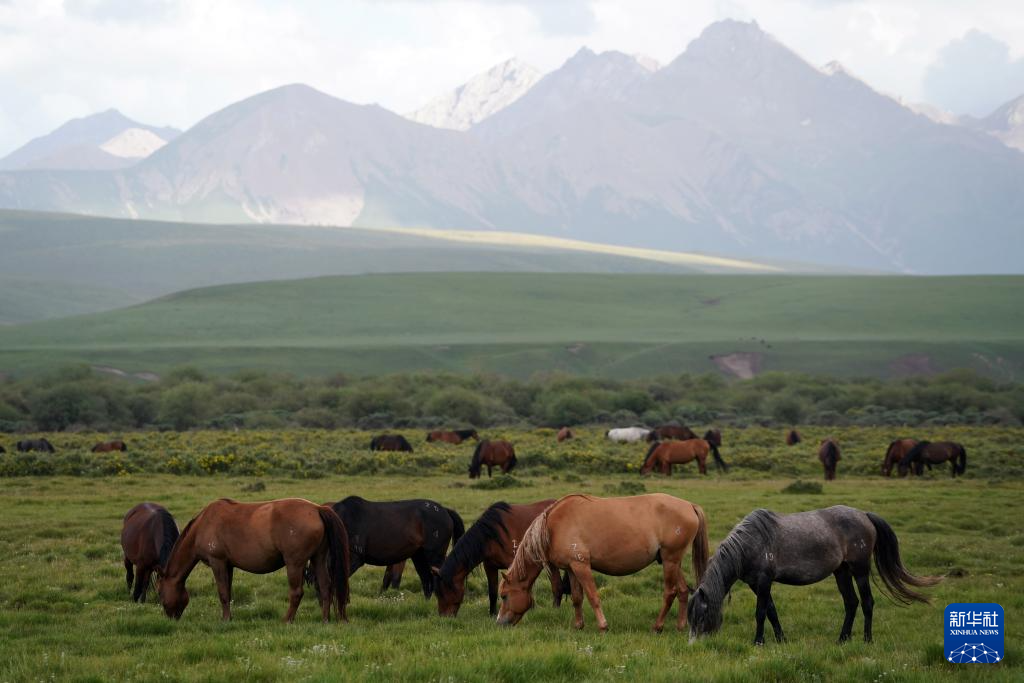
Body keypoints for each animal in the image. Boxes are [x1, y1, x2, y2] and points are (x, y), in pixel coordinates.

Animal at [157, 497, 350, 626]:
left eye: (160, 594)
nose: (170, 618)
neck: (203, 524)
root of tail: (317, 509)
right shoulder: (228, 565)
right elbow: (228, 592)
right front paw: (229, 617)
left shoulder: (217, 562)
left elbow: (222, 593)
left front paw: (225, 620)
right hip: (318, 558)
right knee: (325, 587)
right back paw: (325, 620)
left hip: (295, 563)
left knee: (297, 592)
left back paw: (287, 620)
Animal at [434, 499, 569, 618]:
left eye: (443, 592)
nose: (443, 617)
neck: (493, 535)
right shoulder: (490, 567)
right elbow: (492, 592)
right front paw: (492, 614)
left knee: (557, 586)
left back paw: (555, 611)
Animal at [493, 493, 704, 634]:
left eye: (504, 596)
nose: (499, 623)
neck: (554, 526)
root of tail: (690, 505)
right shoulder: (571, 568)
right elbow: (577, 598)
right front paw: (578, 625)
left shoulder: (581, 566)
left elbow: (593, 596)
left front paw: (603, 626)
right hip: (672, 562)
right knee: (683, 591)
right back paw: (680, 626)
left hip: (670, 561)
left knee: (670, 592)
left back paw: (658, 627)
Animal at [684, 507, 937, 647]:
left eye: (702, 614)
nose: (693, 645)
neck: (749, 544)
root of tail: (864, 515)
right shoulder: (757, 585)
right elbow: (772, 611)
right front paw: (781, 640)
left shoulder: (764, 581)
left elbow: (760, 613)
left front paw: (758, 642)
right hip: (841, 571)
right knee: (851, 602)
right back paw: (842, 639)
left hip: (860, 569)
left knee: (867, 602)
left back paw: (867, 640)